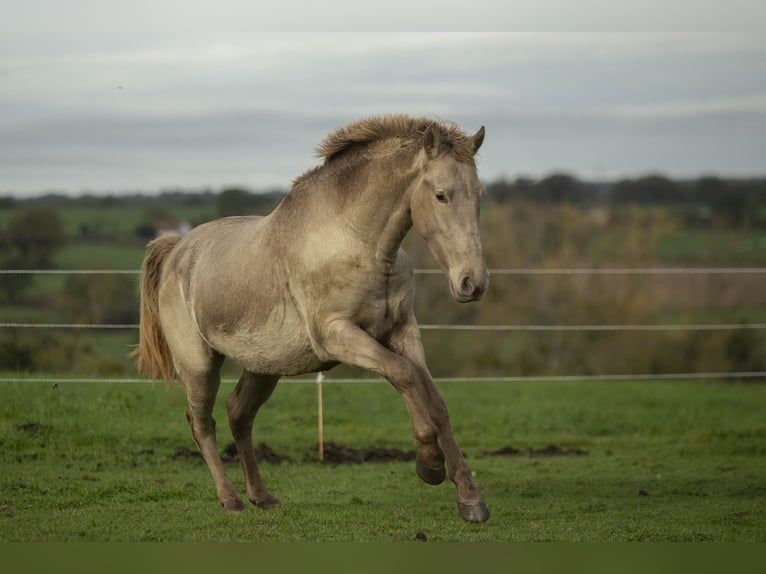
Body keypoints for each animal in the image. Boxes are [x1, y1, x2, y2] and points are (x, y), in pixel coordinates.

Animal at [132, 115, 492, 524]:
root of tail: (177, 248)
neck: (358, 243)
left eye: (479, 193)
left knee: (238, 414)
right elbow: (400, 373)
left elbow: (435, 401)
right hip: (198, 366)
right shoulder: (337, 335)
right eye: (441, 195)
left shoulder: (403, 332)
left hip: (264, 366)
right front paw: (429, 465)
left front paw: (470, 500)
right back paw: (231, 500)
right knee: (202, 423)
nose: (473, 282)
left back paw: (262, 496)